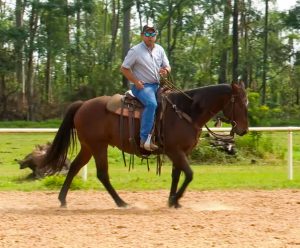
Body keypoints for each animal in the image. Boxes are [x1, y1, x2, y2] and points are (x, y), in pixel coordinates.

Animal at [42, 82, 248, 208]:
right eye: (240, 103)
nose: (244, 129)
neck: (186, 111)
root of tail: (83, 104)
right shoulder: (175, 151)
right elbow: (189, 174)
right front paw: (175, 199)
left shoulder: (181, 152)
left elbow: (177, 175)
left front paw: (173, 201)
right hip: (98, 146)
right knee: (102, 174)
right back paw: (121, 202)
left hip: (88, 147)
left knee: (75, 167)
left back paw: (62, 200)